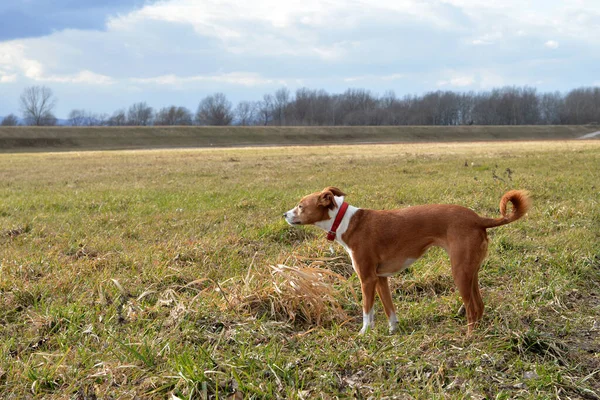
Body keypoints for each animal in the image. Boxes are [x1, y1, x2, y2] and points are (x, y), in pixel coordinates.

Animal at [284, 188, 532, 334]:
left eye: (300, 206)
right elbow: (389, 309)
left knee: (471, 308)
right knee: (479, 305)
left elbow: (367, 311)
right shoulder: (380, 279)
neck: (344, 220)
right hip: (471, 272)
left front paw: (364, 334)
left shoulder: (367, 279)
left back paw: (469, 338)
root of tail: (479, 219)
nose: (284, 215)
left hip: (460, 273)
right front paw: (393, 331)